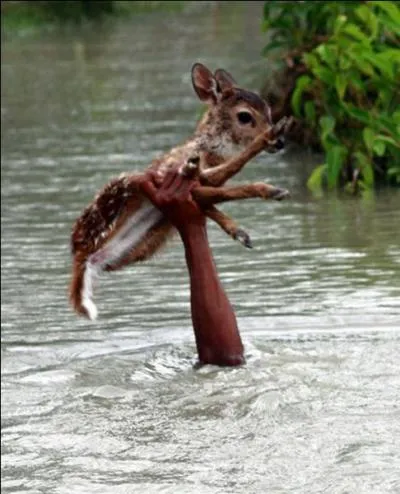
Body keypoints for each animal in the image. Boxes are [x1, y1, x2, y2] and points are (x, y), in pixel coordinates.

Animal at [70, 63, 292, 318]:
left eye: (268, 109)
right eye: (244, 116)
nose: (279, 142)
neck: (210, 152)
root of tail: (81, 255)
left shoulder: (196, 187)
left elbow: (214, 198)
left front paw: (239, 231)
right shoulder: (177, 176)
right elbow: (224, 181)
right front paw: (270, 187)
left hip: (140, 246)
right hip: (121, 195)